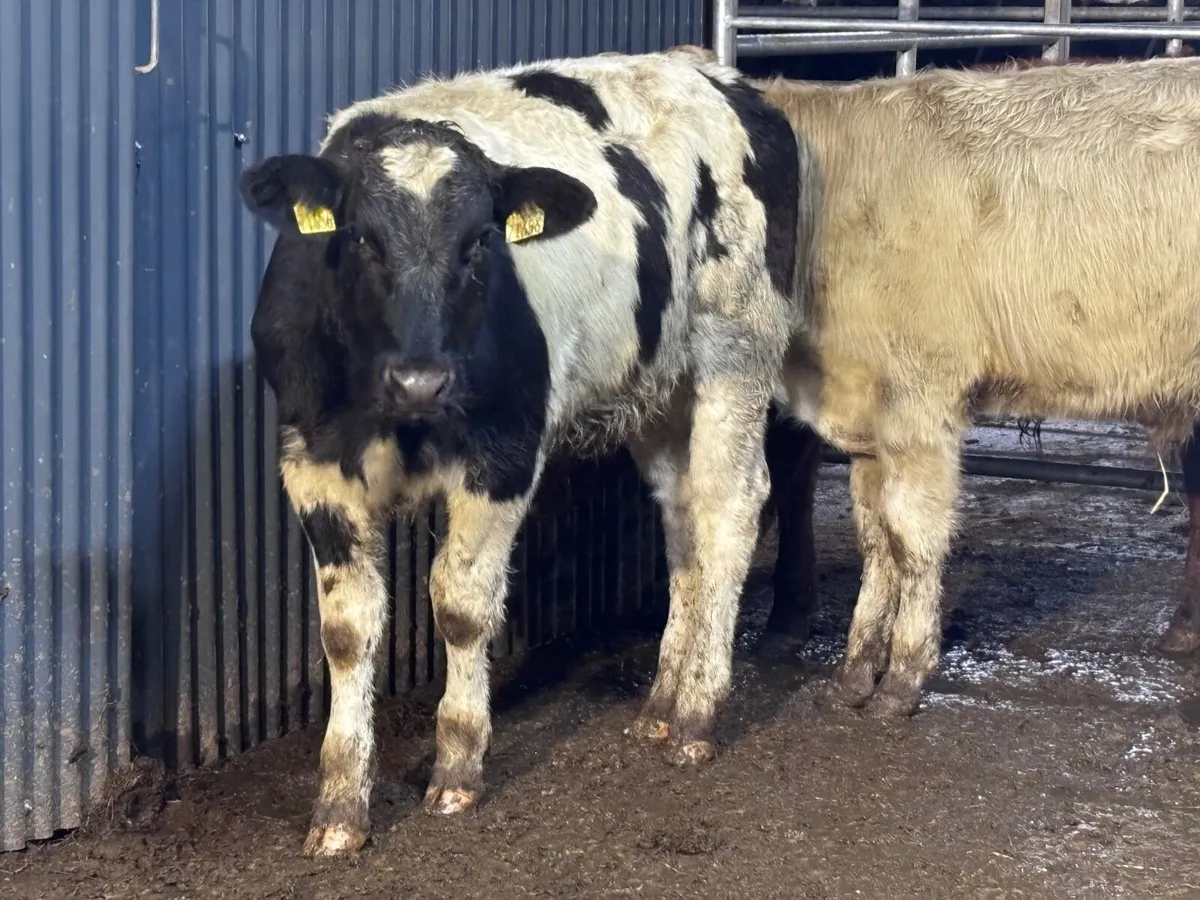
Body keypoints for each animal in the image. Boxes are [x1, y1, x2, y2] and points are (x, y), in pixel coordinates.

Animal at [237, 47, 813, 857]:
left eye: (481, 242)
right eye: (360, 238)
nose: (422, 379)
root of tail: (719, 74)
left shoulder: (506, 451)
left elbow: (461, 604)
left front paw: (457, 765)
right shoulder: (312, 459)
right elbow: (347, 630)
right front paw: (340, 805)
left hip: (738, 348)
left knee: (730, 507)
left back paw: (699, 712)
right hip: (657, 382)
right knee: (683, 521)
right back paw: (662, 700)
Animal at [755, 56, 1200, 717]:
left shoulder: (921, 400)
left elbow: (913, 538)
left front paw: (904, 677)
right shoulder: (870, 420)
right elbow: (877, 542)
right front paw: (855, 672)